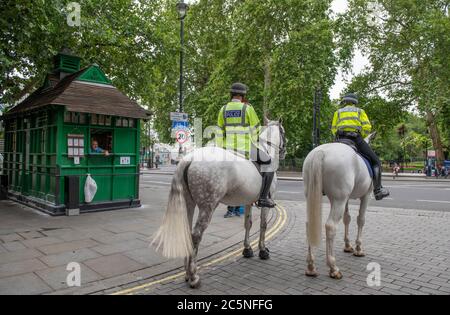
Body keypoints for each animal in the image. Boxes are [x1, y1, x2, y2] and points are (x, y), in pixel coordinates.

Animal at [151, 120, 284, 288]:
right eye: (283, 132)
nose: (284, 150)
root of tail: (190, 158)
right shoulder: (266, 202)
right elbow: (263, 225)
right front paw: (262, 250)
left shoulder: (247, 202)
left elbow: (248, 224)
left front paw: (247, 249)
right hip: (208, 205)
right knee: (196, 234)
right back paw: (193, 276)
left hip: (188, 202)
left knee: (187, 232)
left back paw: (186, 273)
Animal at [302, 135, 376, 280]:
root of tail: (321, 152)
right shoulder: (366, 195)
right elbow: (361, 219)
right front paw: (358, 248)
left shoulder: (346, 199)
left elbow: (347, 218)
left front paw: (348, 245)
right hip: (339, 200)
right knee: (330, 227)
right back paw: (333, 267)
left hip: (318, 197)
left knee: (309, 224)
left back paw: (311, 266)